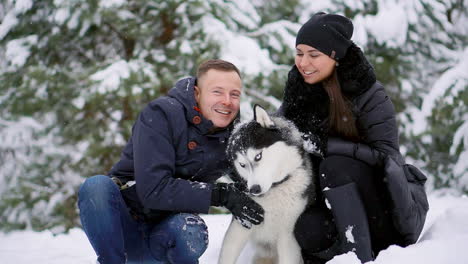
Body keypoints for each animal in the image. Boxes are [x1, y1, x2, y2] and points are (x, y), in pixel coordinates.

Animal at [218, 105, 314, 264]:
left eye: (258, 156)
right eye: (242, 164)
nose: (254, 189)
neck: (275, 189)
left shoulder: (288, 237)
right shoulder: (240, 225)